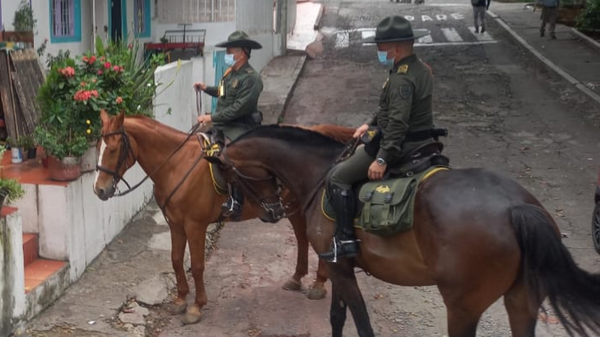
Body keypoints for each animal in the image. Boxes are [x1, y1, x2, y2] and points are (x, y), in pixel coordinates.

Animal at [92, 111, 354, 324]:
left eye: (113, 148)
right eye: (98, 147)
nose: (99, 190)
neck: (176, 164)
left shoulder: (195, 226)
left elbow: (197, 265)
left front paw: (196, 307)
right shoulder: (175, 224)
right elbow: (176, 260)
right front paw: (180, 300)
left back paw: (319, 283)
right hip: (295, 207)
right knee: (301, 237)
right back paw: (298, 278)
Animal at [206, 124, 600, 336]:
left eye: (226, 174)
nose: (270, 212)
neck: (321, 174)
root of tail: (517, 206)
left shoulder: (339, 268)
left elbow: (361, 323)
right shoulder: (338, 265)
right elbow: (337, 317)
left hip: (462, 306)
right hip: (522, 300)